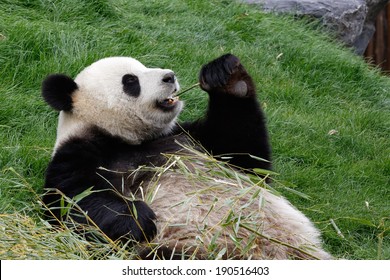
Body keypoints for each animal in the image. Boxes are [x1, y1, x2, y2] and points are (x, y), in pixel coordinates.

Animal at [41, 53, 330, 260]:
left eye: (144, 66)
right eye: (131, 80)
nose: (169, 76)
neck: (128, 138)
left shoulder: (191, 139)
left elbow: (247, 157)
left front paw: (228, 78)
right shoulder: (76, 155)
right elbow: (73, 202)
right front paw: (138, 218)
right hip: (190, 249)